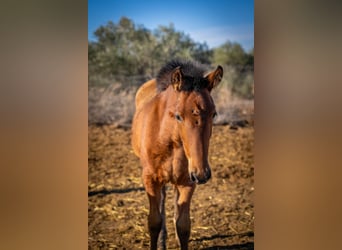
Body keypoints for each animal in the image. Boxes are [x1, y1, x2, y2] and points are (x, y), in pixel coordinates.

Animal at [132, 59, 224, 249]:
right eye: (178, 116)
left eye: (214, 114)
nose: (202, 174)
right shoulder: (150, 179)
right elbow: (154, 221)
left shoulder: (187, 182)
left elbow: (183, 226)